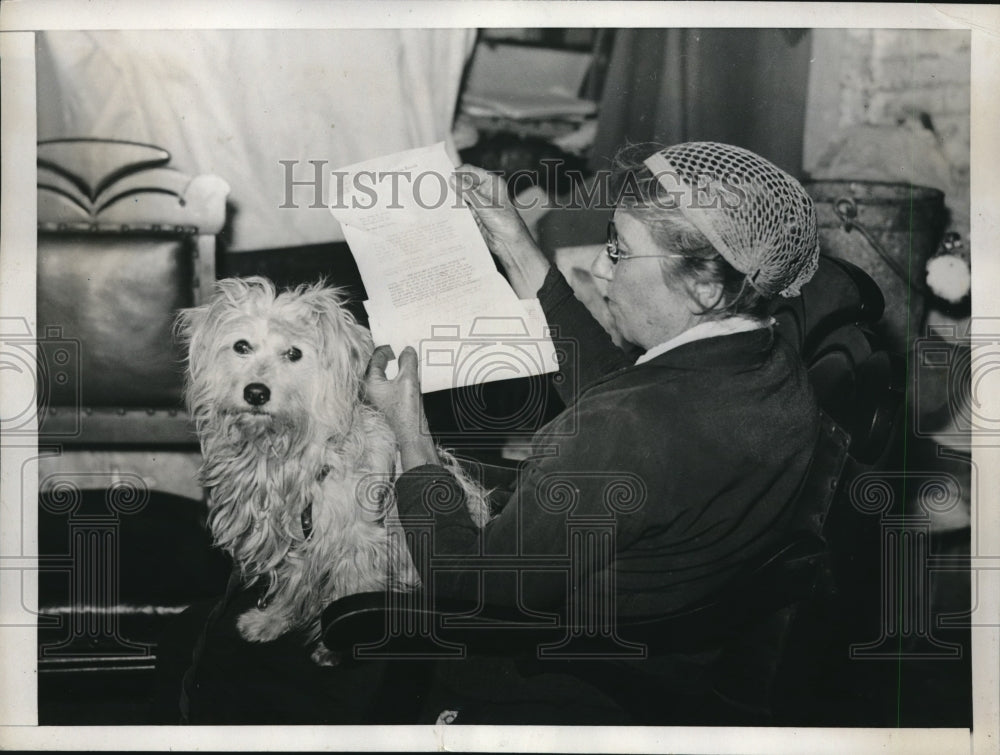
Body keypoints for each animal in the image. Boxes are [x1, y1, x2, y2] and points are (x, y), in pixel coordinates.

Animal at [180, 278, 492, 660]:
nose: (255, 393)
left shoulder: (359, 542)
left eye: (294, 354)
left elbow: (348, 589)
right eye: (241, 346)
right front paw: (272, 621)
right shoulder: (296, 542)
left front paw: (337, 646)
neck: (284, 450)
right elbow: (294, 583)